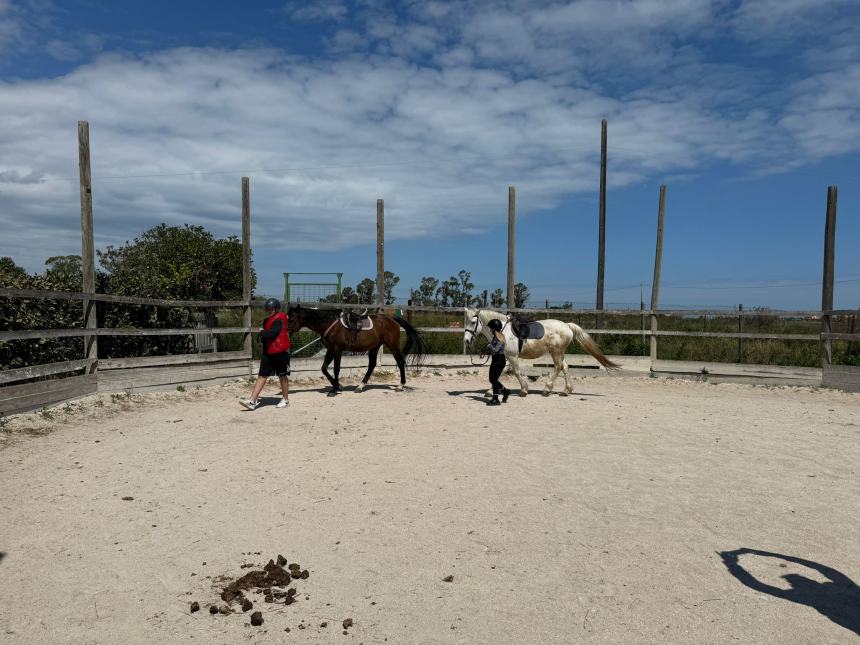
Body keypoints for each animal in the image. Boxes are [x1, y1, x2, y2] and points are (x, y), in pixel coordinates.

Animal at [288, 306, 424, 394]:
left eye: (292, 318)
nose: (287, 332)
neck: (329, 323)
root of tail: (393, 320)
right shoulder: (330, 349)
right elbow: (324, 368)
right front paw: (337, 385)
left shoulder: (337, 349)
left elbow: (336, 369)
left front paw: (335, 389)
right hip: (375, 347)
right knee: (372, 365)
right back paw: (360, 386)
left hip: (392, 345)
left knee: (400, 362)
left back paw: (400, 385)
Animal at [464, 306, 620, 392]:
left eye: (473, 322)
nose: (466, 340)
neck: (503, 331)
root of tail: (567, 326)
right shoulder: (504, 356)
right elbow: (496, 374)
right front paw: (491, 391)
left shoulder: (513, 357)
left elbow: (515, 372)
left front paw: (524, 389)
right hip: (559, 353)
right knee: (565, 367)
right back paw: (566, 390)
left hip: (555, 353)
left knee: (558, 367)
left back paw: (547, 388)